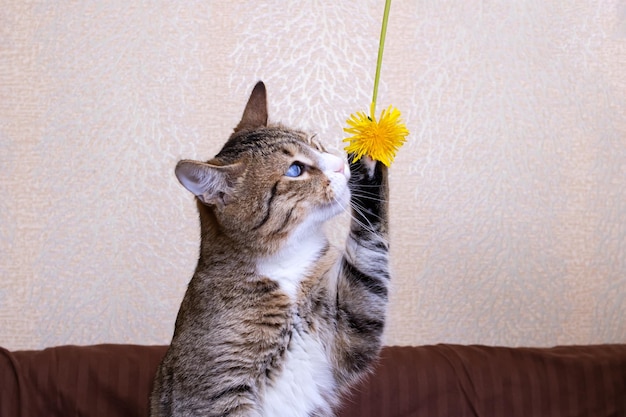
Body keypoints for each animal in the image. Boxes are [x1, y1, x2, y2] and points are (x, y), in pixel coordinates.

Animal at [150, 81, 390, 416]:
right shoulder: (217, 396)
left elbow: (369, 262)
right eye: (295, 170)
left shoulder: (349, 327)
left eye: (315, 142)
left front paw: (367, 159)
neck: (285, 271)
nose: (341, 166)